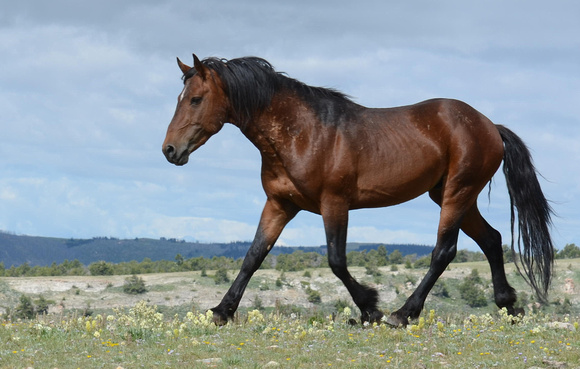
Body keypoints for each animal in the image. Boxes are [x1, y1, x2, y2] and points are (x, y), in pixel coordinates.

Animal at [162, 54, 552, 324]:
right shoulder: (279, 204)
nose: (170, 150)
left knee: (445, 251)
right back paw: (508, 305)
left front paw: (370, 308)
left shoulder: (334, 203)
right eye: (180, 98)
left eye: (195, 99)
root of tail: (489, 126)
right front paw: (222, 310)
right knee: (491, 240)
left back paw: (402, 314)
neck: (303, 133)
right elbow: (253, 256)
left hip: (458, 193)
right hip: (453, 195)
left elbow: (336, 261)